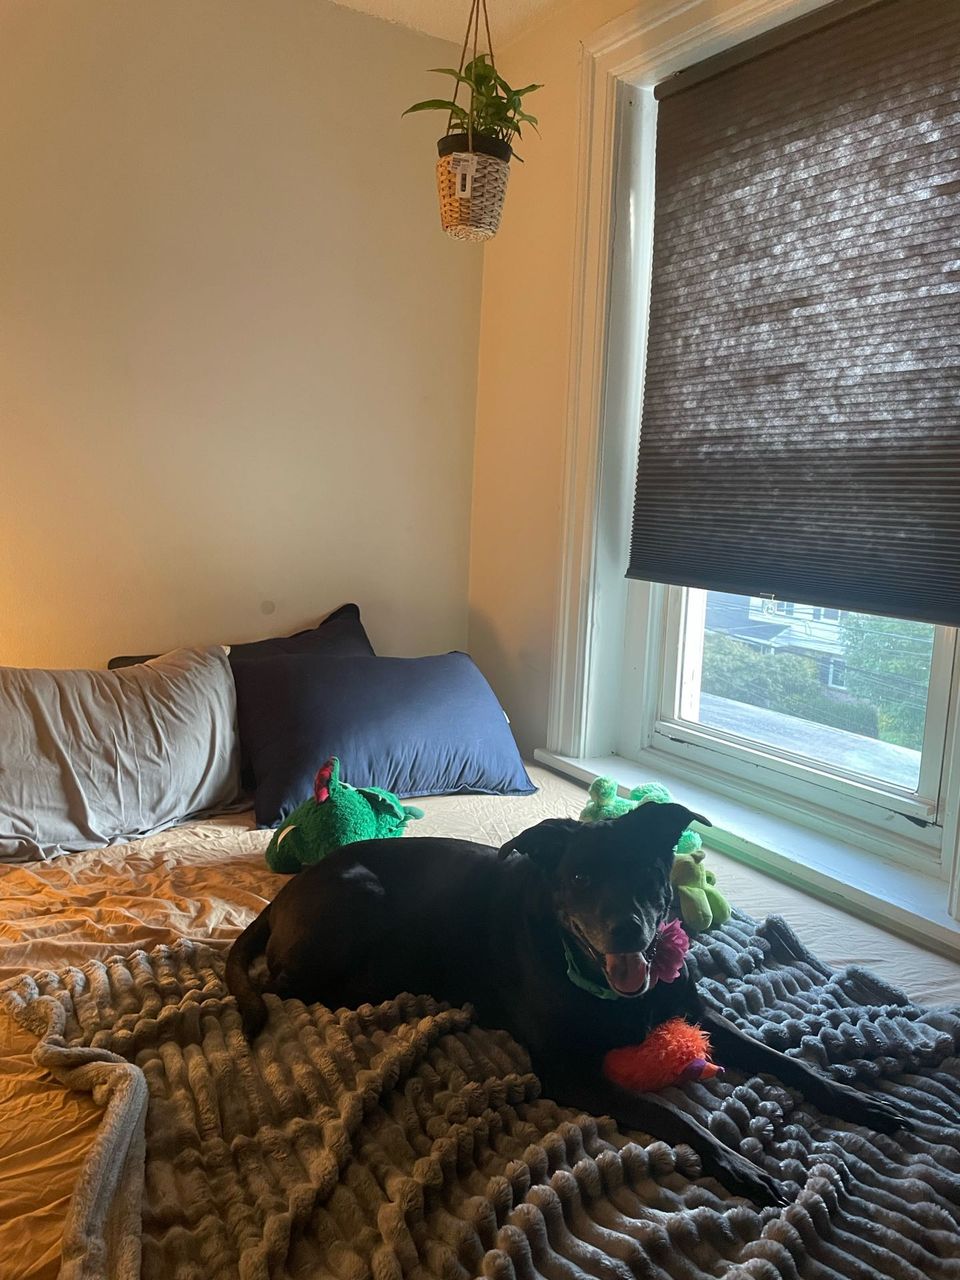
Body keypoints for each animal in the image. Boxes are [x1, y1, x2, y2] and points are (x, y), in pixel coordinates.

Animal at [226, 801, 909, 1205]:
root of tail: (282, 896)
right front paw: (737, 1165)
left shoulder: (698, 1012)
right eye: (580, 878)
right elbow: (671, 1113)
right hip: (355, 904)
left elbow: (783, 1060)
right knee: (284, 984)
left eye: (646, 870)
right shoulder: (568, 1072)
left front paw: (857, 1101)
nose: (628, 931)